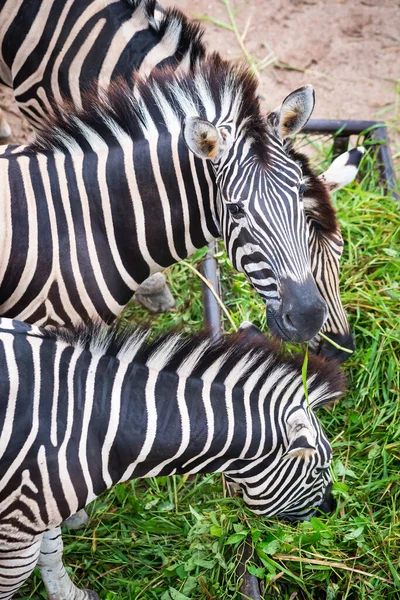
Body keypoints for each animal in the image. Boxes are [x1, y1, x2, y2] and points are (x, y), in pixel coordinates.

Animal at [0, 316, 346, 596]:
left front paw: (71, 595)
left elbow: (52, 553)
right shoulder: (14, 536)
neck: (97, 422)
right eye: (319, 470)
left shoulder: (38, 509)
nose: (331, 510)